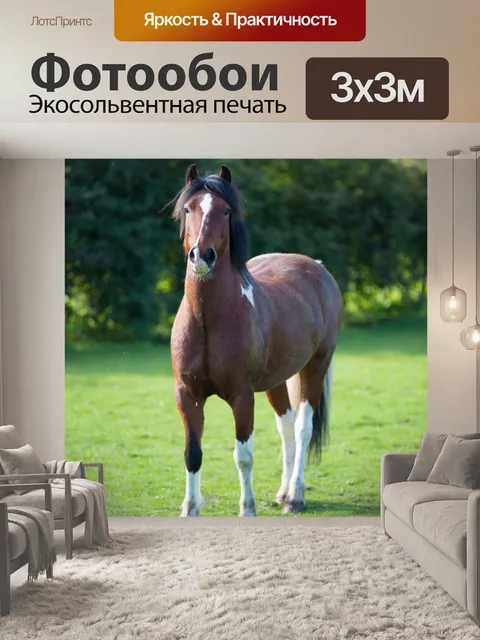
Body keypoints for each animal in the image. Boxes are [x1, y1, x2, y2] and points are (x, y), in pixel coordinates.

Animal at [170, 164, 343, 517]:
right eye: (188, 209)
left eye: (225, 210)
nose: (202, 256)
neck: (208, 320)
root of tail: (317, 268)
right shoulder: (187, 396)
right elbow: (193, 454)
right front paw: (189, 509)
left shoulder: (242, 396)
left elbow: (244, 456)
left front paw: (247, 509)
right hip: (277, 380)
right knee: (286, 426)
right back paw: (283, 492)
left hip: (316, 367)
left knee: (302, 429)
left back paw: (295, 496)